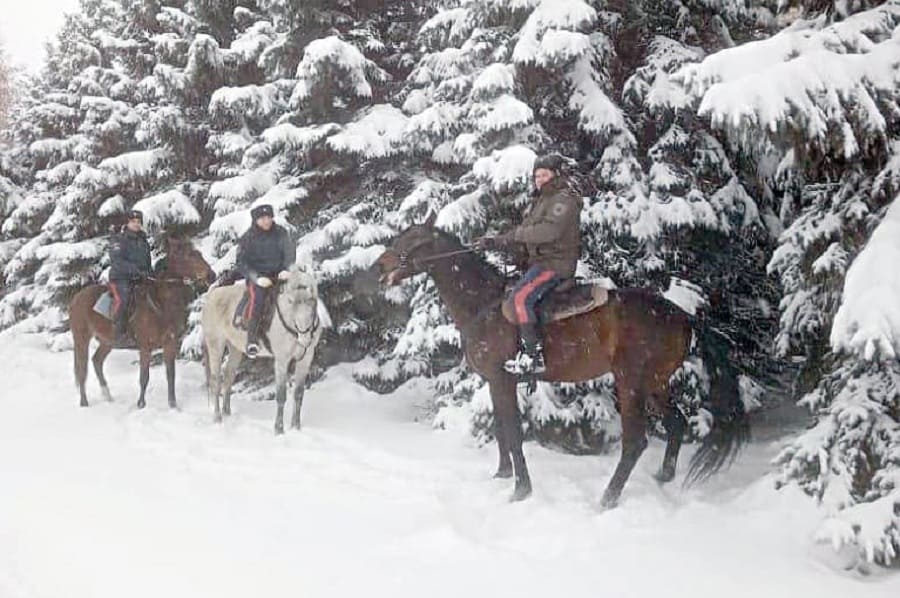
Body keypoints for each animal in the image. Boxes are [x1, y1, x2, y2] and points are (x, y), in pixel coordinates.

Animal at [69, 239, 216, 412]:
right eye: (188, 255)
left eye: (198, 253)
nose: (211, 275)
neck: (160, 304)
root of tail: (76, 298)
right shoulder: (145, 346)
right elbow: (144, 377)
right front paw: (141, 405)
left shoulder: (170, 344)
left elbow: (170, 375)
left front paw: (173, 405)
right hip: (82, 338)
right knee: (82, 368)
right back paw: (84, 402)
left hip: (107, 342)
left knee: (97, 361)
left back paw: (108, 396)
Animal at [202, 268, 322, 436]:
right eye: (290, 301)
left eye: (312, 300)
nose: (304, 336)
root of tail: (210, 297)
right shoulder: (282, 360)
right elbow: (281, 395)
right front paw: (279, 429)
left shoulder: (305, 359)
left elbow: (299, 394)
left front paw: (296, 427)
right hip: (216, 345)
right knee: (216, 381)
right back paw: (218, 418)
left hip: (235, 348)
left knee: (229, 376)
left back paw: (227, 412)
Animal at [376, 216, 748, 506]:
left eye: (411, 240)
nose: (379, 266)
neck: (483, 304)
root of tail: (683, 315)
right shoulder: (495, 383)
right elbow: (500, 429)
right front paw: (502, 475)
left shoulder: (502, 380)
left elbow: (513, 433)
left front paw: (521, 490)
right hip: (655, 383)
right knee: (677, 424)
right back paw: (662, 477)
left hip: (631, 383)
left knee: (635, 442)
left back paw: (608, 498)